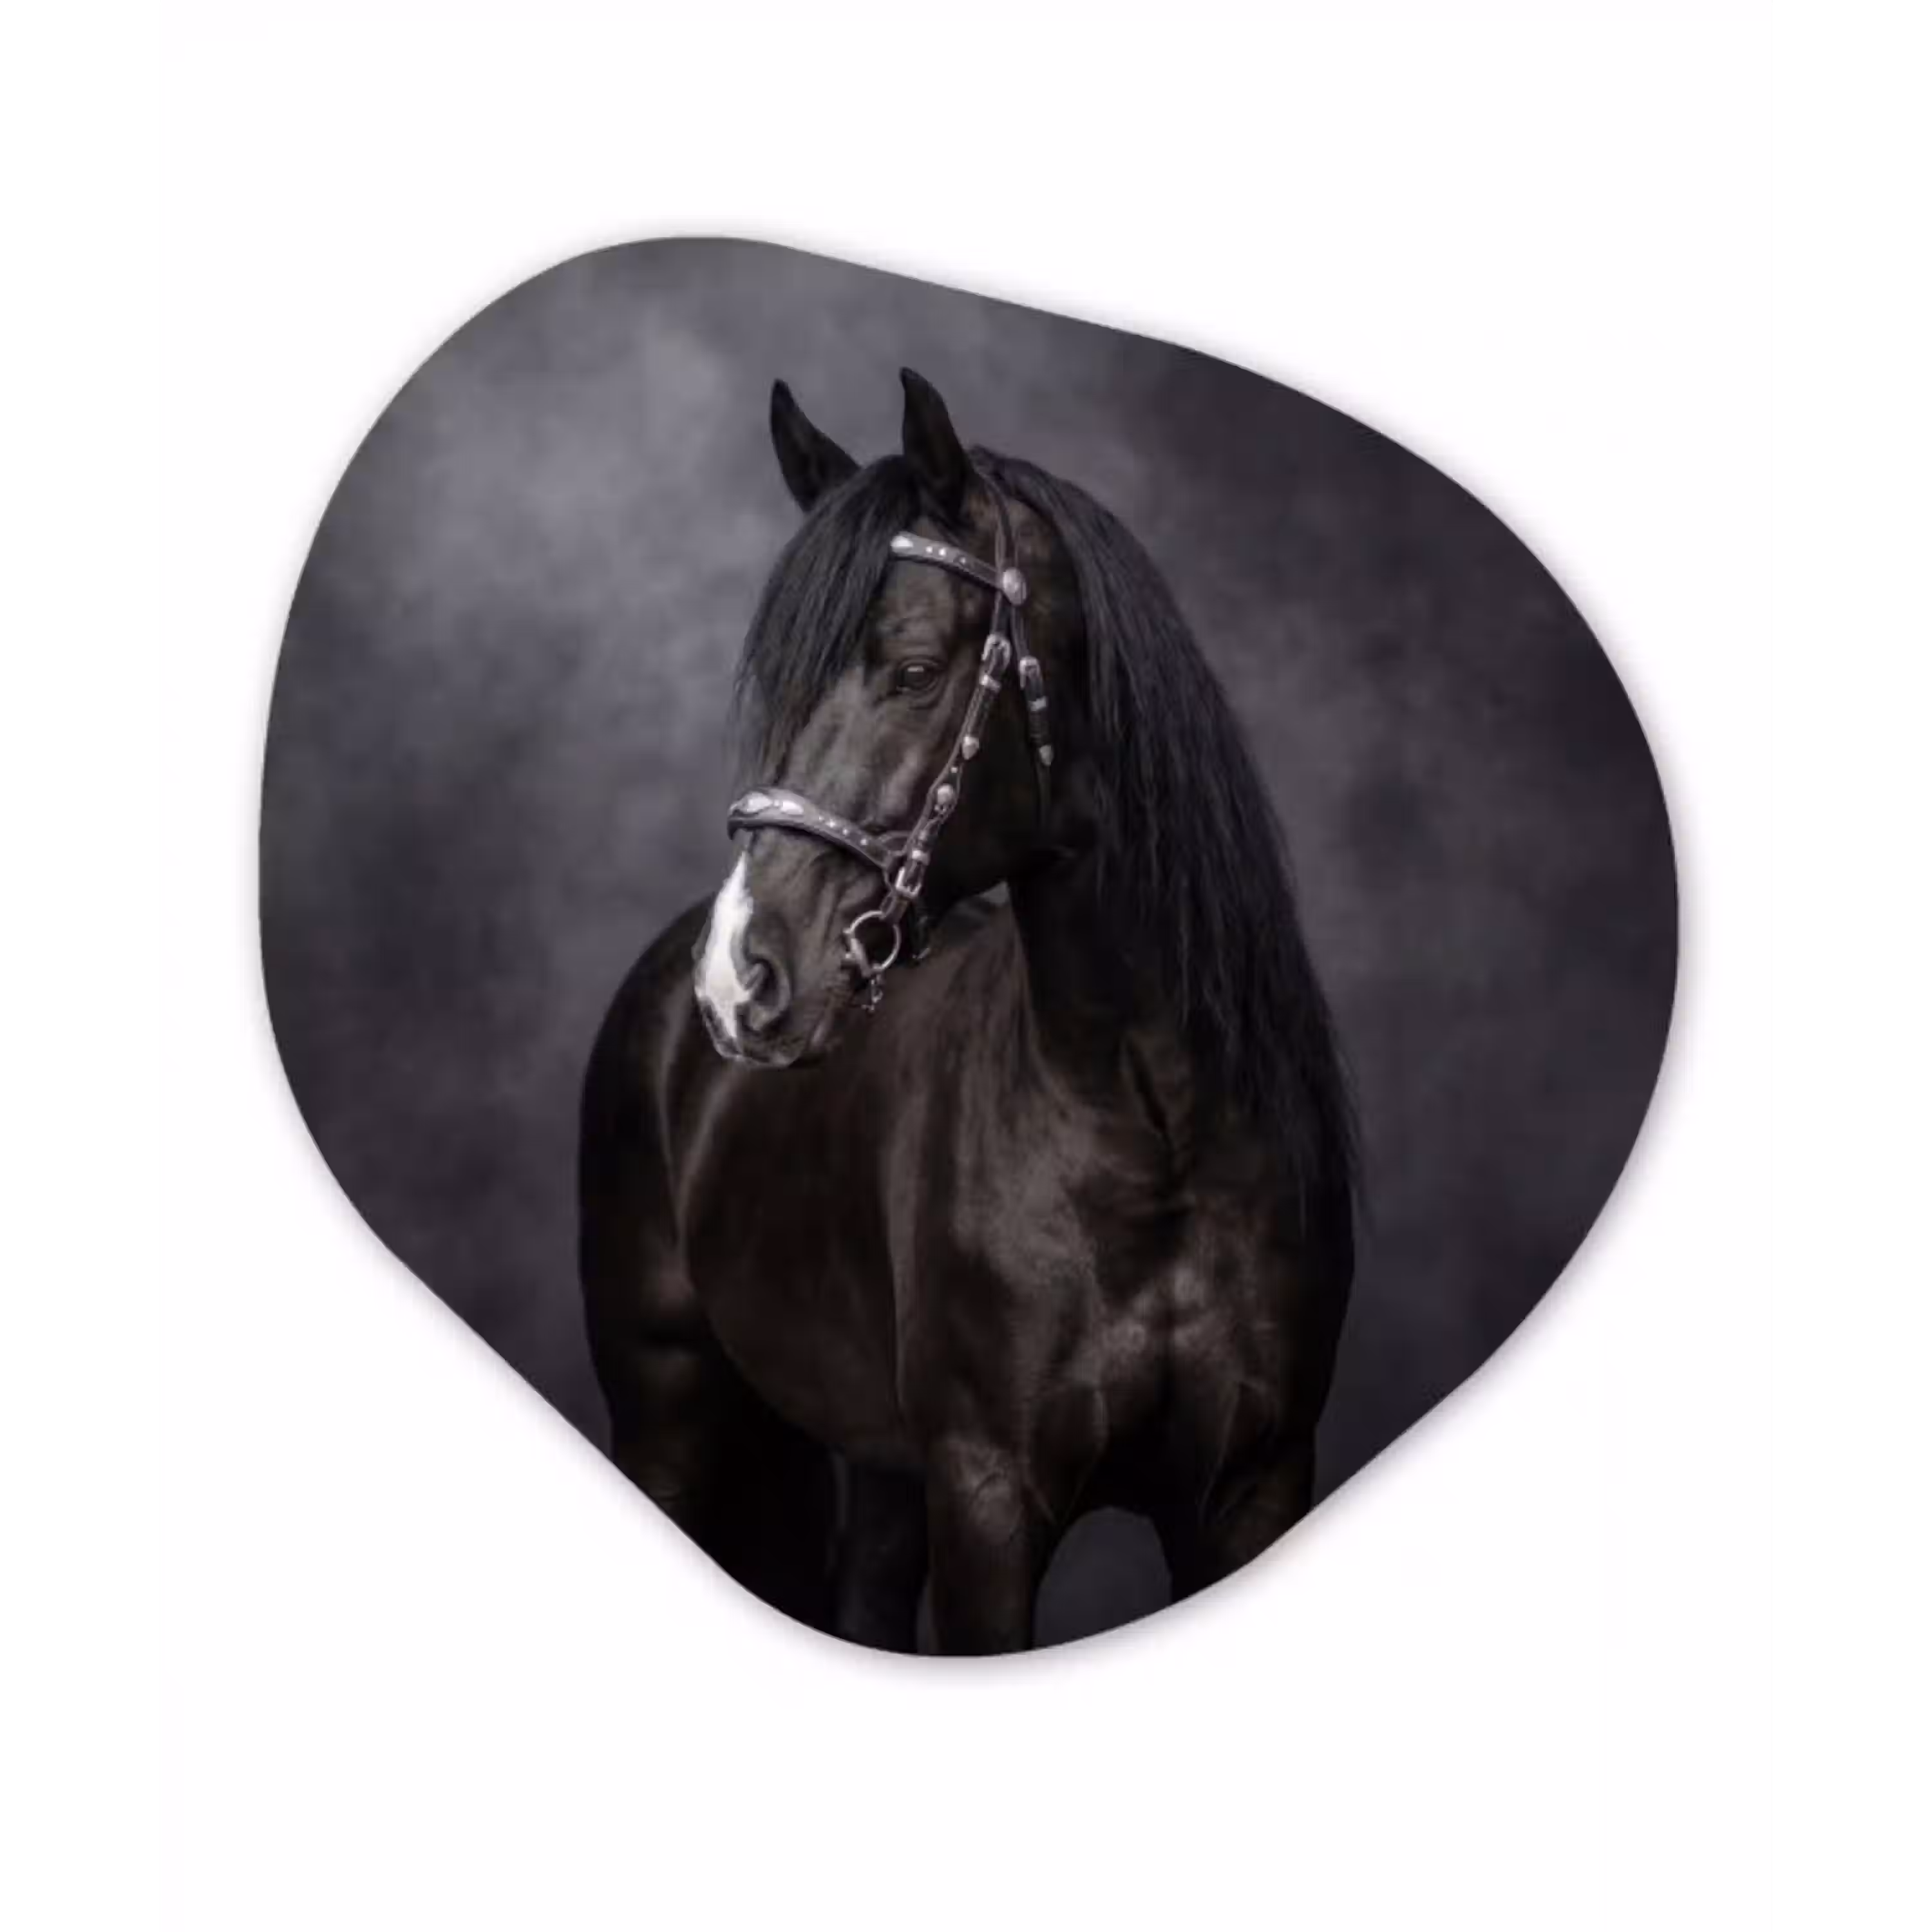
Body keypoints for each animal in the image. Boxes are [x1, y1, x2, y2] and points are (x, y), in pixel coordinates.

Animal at [579, 369, 1357, 1654]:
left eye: (911, 671)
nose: (740, 976)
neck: (1153, 1131)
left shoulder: (1252, 1485)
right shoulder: (989, 1497)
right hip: (670, 1418)